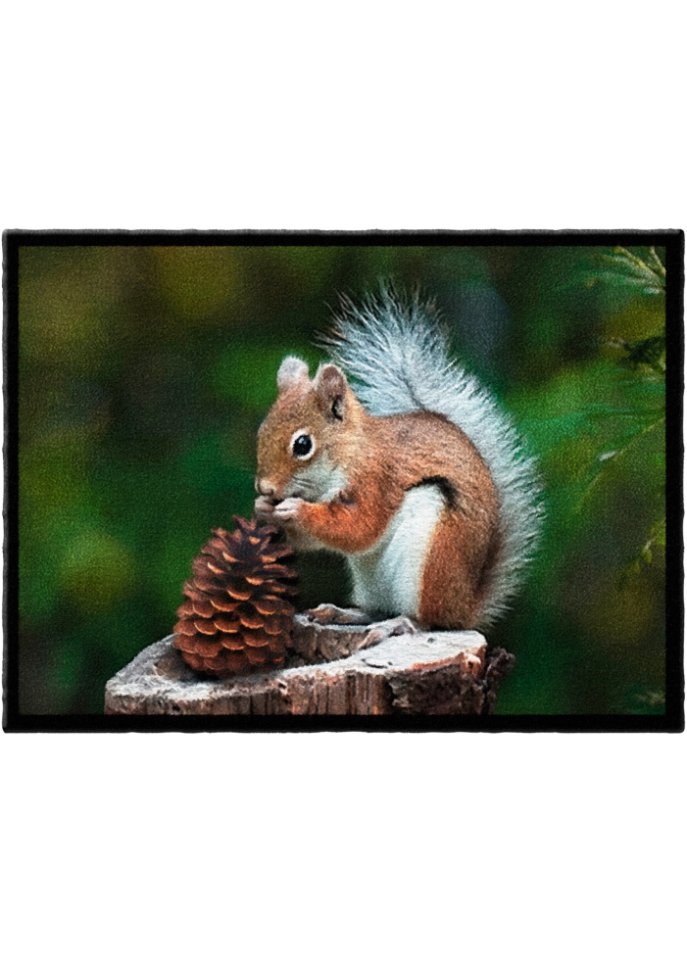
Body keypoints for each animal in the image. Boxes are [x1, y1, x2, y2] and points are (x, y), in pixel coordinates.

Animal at [254, 288, 542, 645]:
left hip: (429, 559)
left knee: (429, 621)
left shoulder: (377, 479)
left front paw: (295, 510)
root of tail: (463, 608)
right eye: (261, 431)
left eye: (303, 445)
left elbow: (359, 527)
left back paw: (402, 624)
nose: (265, 488)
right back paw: (345, 613)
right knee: (378, 608)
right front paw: (263, 508)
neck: (350, 453)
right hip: (370, 580)